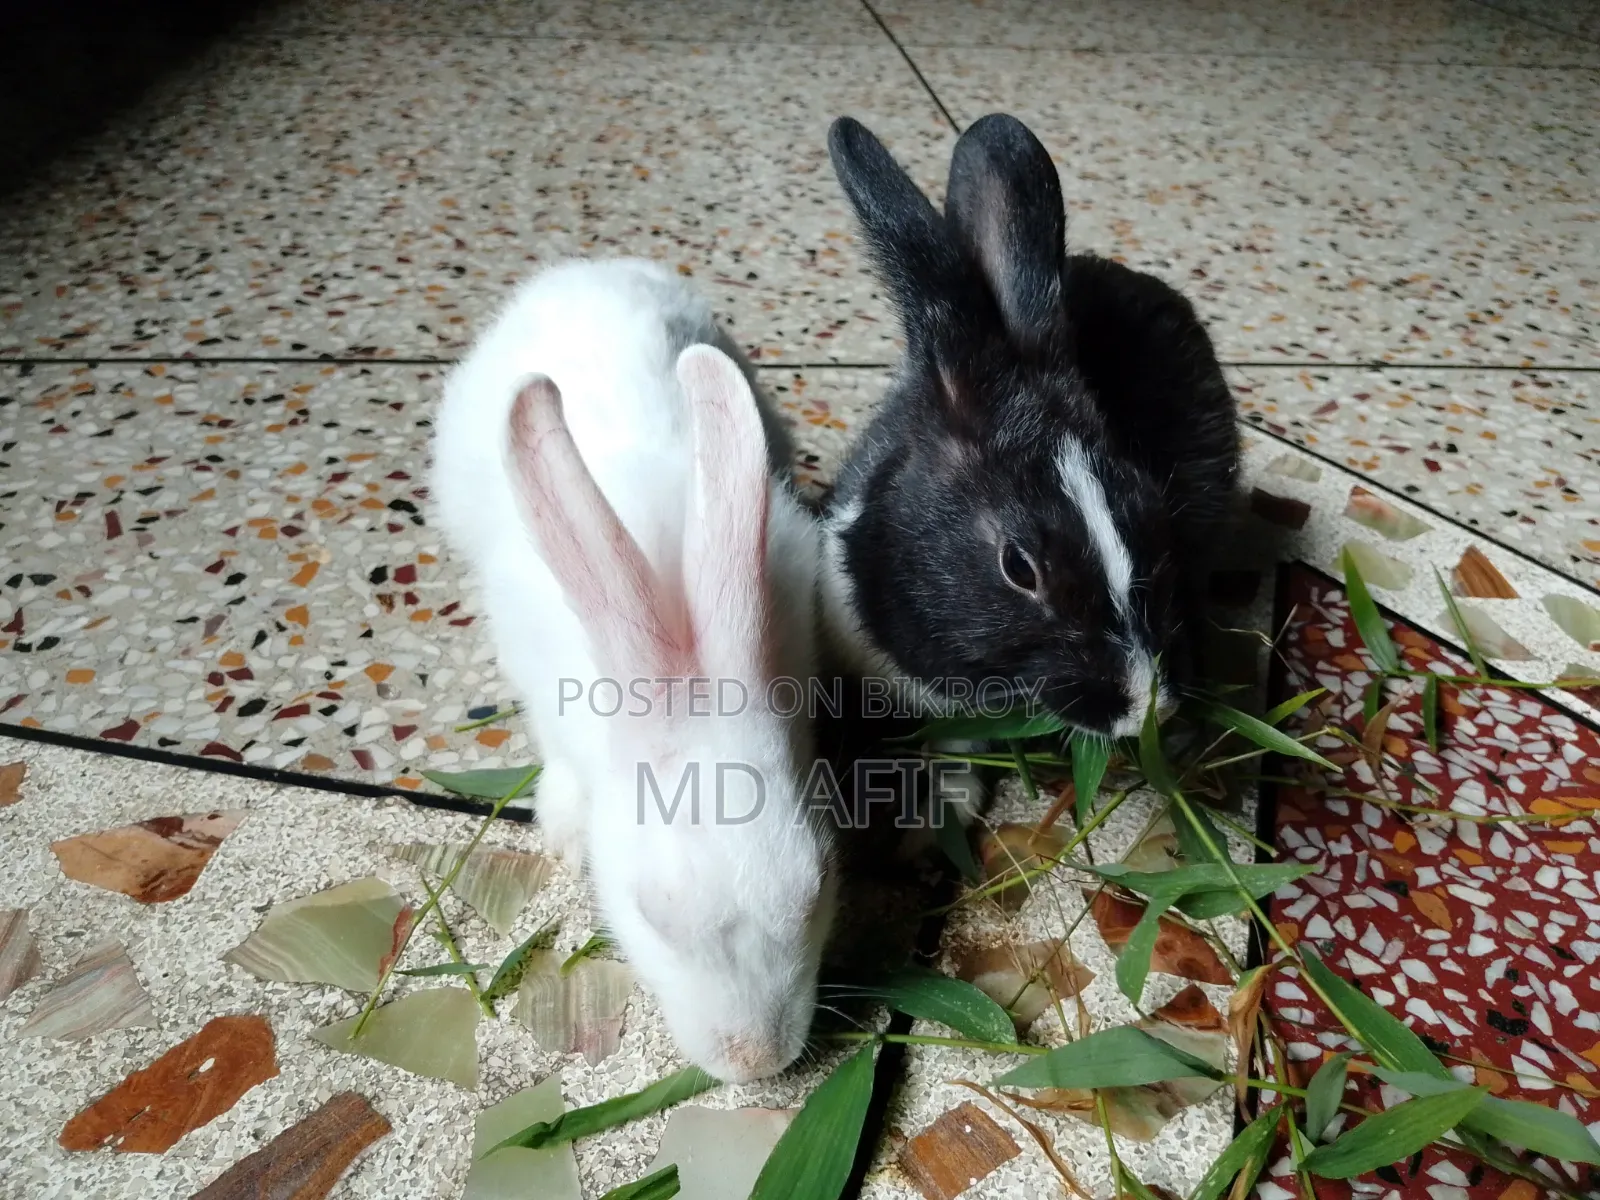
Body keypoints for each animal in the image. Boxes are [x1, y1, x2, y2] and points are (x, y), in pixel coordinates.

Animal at [432, 258, 837, 1083]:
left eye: (818, 887)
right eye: (652, 914)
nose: (756, 1061)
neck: (687, 665)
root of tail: (584, 270)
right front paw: (562, 835)